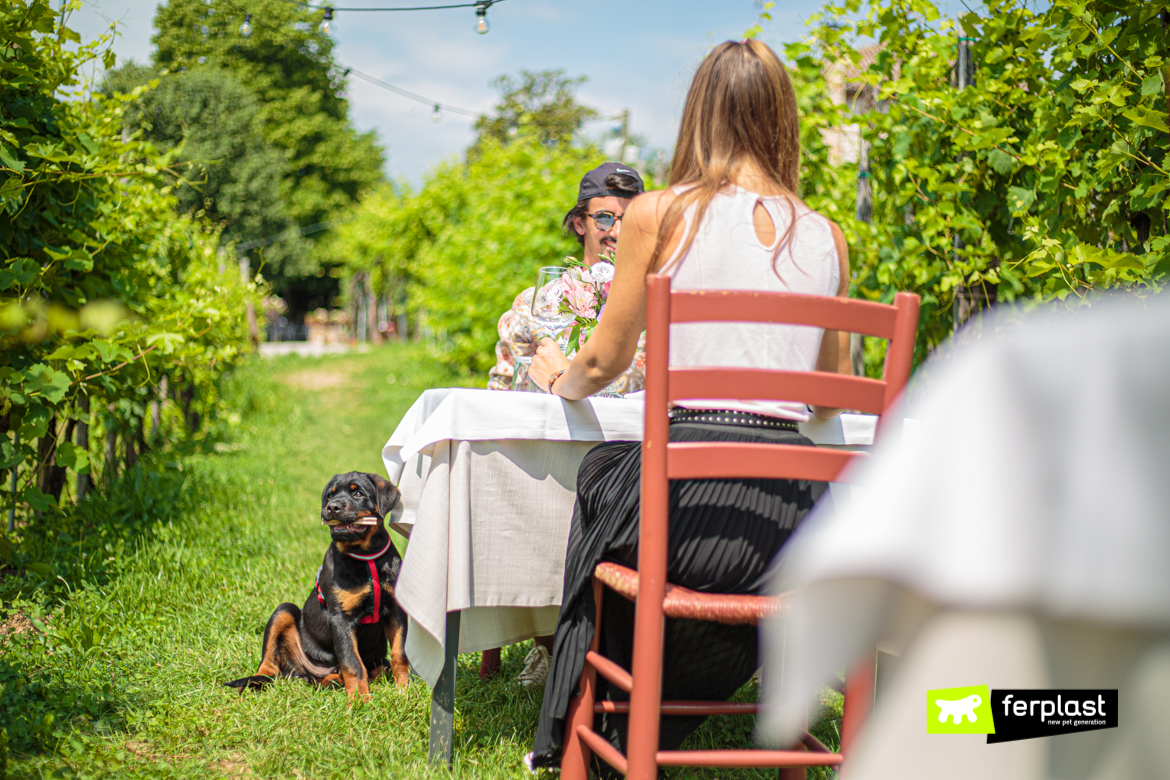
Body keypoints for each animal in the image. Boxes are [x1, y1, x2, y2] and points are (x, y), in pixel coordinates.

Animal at [225, 470, 409, 701]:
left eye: (358, 493)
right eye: (330, 495)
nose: (332, 507)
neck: (365, 557)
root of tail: (303, 673)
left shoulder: (396, 610)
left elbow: (399, 654)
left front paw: (403, 690)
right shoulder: (341, 618)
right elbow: (352, 662)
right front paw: (359, 700)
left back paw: (334, 680)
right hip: (284, 610)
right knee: (268, 663)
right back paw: (256, 683)